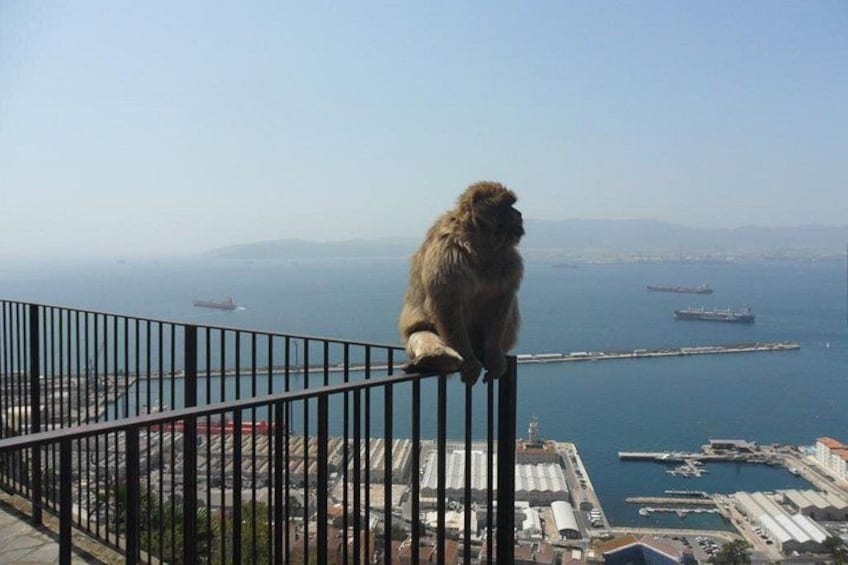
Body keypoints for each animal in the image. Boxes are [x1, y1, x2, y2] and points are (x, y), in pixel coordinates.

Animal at [399, 181, 524, 384]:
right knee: (420, 332)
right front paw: (470, 364)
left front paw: (495, 360)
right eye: (507, 205)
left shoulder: (510, 258)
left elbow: (500, 302)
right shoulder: (447, 250)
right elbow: (447, 305)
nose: (519, 214)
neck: (481, 241)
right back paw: (438, 358)